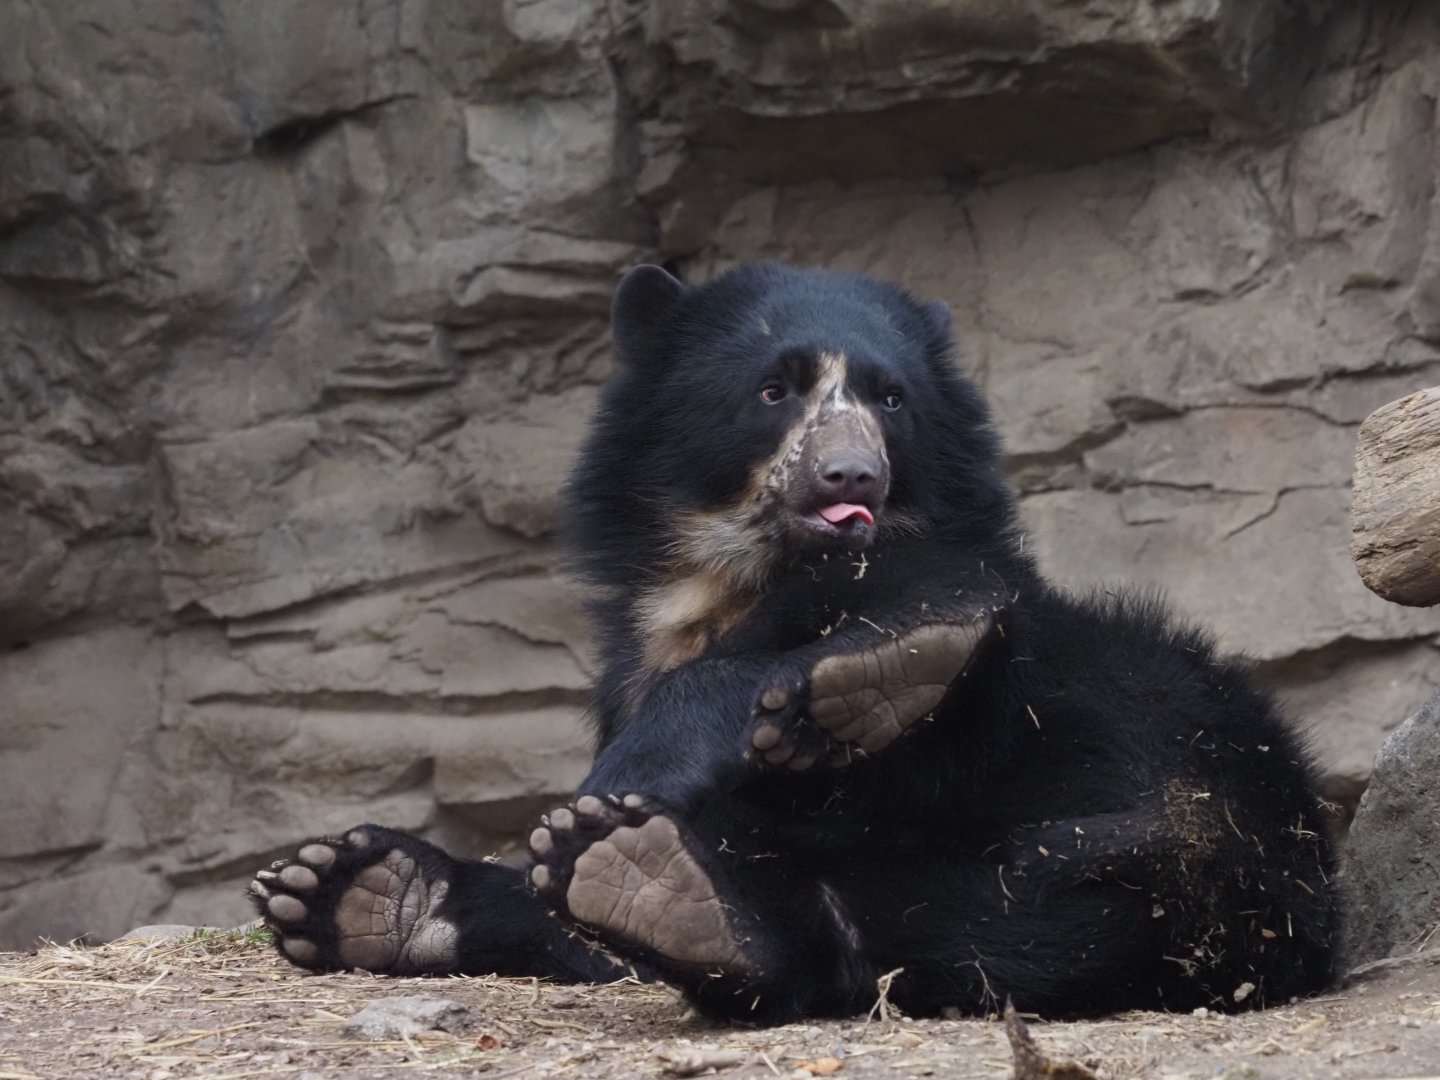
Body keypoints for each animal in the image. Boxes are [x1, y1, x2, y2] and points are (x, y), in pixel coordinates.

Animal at [250, 261, 1339, 1024]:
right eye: (776, 390)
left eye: (891, 398)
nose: (851, 478)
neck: (740, 580)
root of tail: (1228, 874)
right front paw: (348, 888)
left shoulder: (916, 563)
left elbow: (920, 585)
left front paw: (640, 770)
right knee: (847, 929)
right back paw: (633, 885)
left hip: (1135, 705)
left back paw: (862, 692)